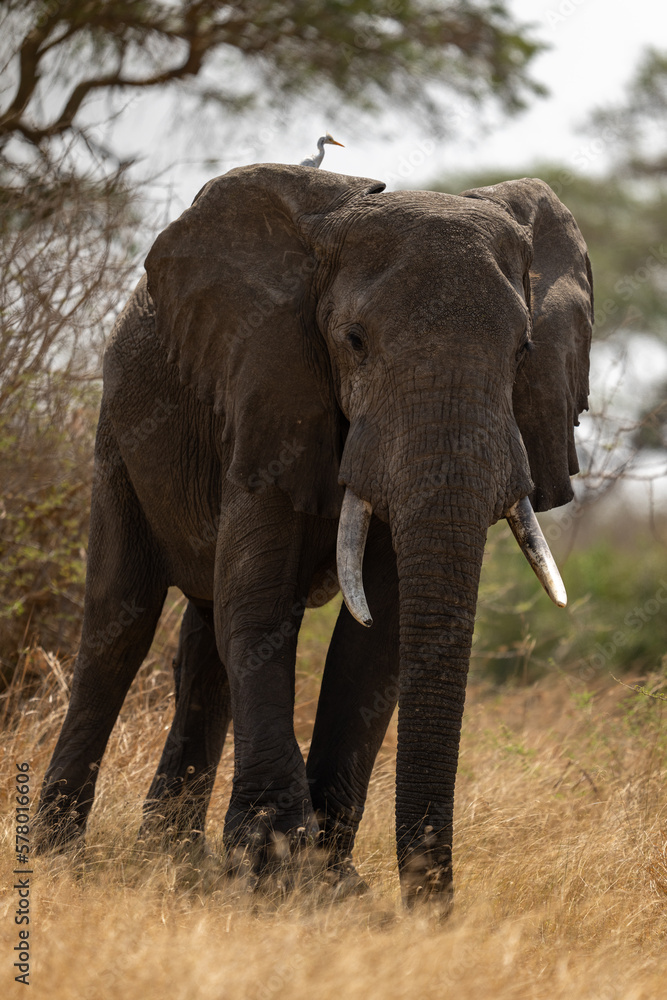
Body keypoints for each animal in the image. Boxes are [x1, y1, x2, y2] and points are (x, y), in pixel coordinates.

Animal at [37, 163, 593, 906]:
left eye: (523, 350)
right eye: (354, 341)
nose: (434, 908)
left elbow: (377, 635)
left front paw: (330, 882)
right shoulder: (267, 384)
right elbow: (260, 604)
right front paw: (278, 872)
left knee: (204, 637)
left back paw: (170, 859)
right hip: (118, 430)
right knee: (119, 621)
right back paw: (58, 855)